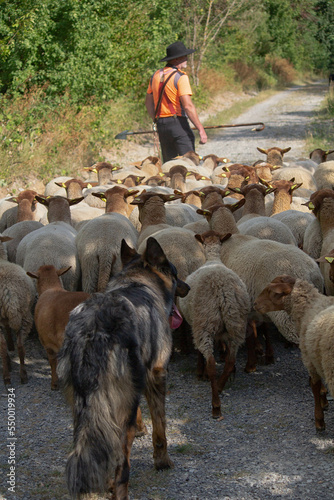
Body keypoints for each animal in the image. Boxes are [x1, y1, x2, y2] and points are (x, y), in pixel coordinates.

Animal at [56, 236, 189, 498]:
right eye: (175, 274)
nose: (188, 288)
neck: (137, 280)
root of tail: (93, 331)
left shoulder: (134, 386)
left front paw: (140, 428)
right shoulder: (156, 374)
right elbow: (160, 427)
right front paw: (162, 461)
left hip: (83, 412)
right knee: (121, 465)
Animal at [177, 230, 250, 418]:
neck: (213, 259)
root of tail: (222, 290)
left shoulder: (195, 323)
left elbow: (199, 354)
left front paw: (199, 371)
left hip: (204, 323)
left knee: (211, 362)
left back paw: (216, 405)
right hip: (236, 325)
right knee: (230, 360)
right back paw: (221, 385)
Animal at [254, 276, 334, 432]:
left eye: (270, 290)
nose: (254, 303)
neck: (309, 305)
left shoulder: (309, 359)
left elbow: (314, 386)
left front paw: (319, 420)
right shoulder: (316, 358)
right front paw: (324, 402)